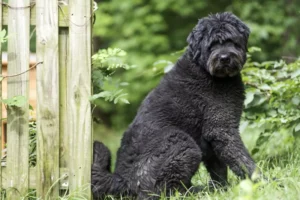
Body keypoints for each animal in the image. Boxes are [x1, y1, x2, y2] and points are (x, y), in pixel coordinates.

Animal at [92, 12, 256, 198]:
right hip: (182, 143)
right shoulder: (222, 129)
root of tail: (121, 181)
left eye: (231, 41)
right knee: (164, 190)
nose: (224, 58)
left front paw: (223, 188)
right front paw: (262, 181)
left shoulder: (212, 138)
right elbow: (242, 160)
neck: (205, 70)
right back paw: (198, 191)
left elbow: (219, 169)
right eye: (212, 45)